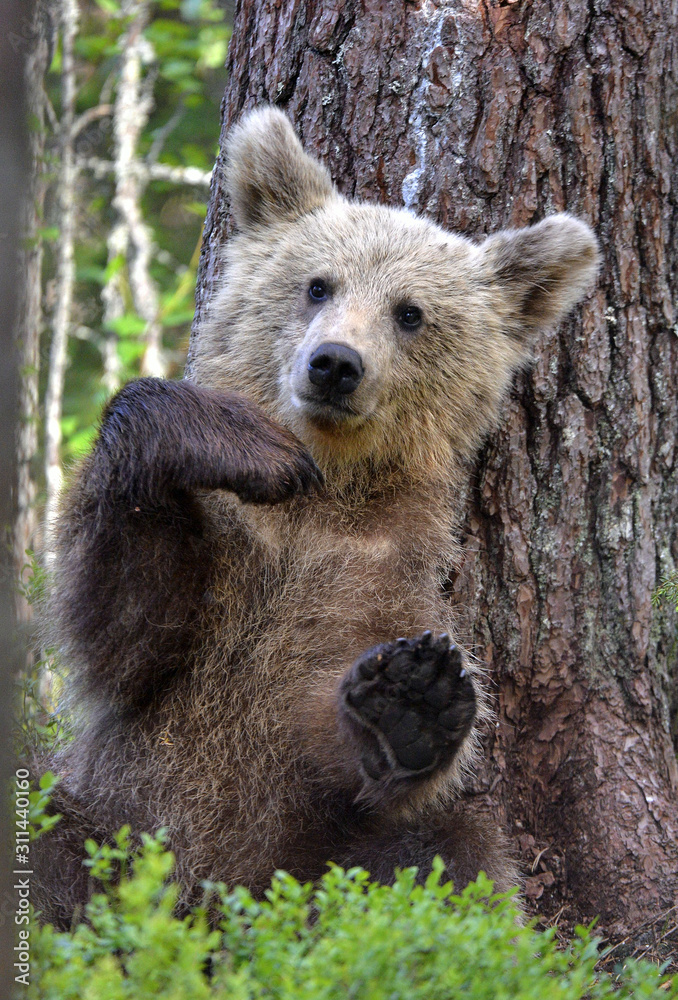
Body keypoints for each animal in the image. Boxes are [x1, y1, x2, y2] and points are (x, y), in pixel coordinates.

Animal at [33, 106, 599, 929]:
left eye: (410, 313)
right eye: (317, 284)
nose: (335, 363)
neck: (327, 495)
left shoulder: (381, 572)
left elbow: (324, 725)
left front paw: (410, 698)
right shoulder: (225, 569)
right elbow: (126, 625)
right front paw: (238, 443)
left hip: (320, 865)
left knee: (448, 856)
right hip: (108, 825)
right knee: (45, 843)